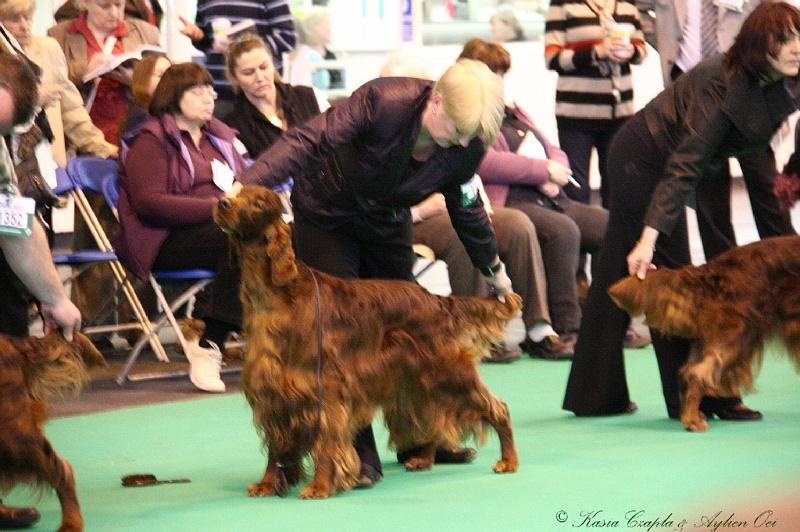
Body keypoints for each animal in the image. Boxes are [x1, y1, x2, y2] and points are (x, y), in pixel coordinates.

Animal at [216, 184, 520, 498]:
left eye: (258, 203)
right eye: (237, 193)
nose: (222, 203)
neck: (273, 296)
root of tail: (437, 299)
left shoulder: (323, 386)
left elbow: (326, 441)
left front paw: (320, 486)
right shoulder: (273, 389)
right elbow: (276, 447)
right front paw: (267, 484)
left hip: (449, 371)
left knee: (498, 408)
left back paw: (508, 460)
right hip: (417, 379)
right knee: (429, 414)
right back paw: (423, 459)